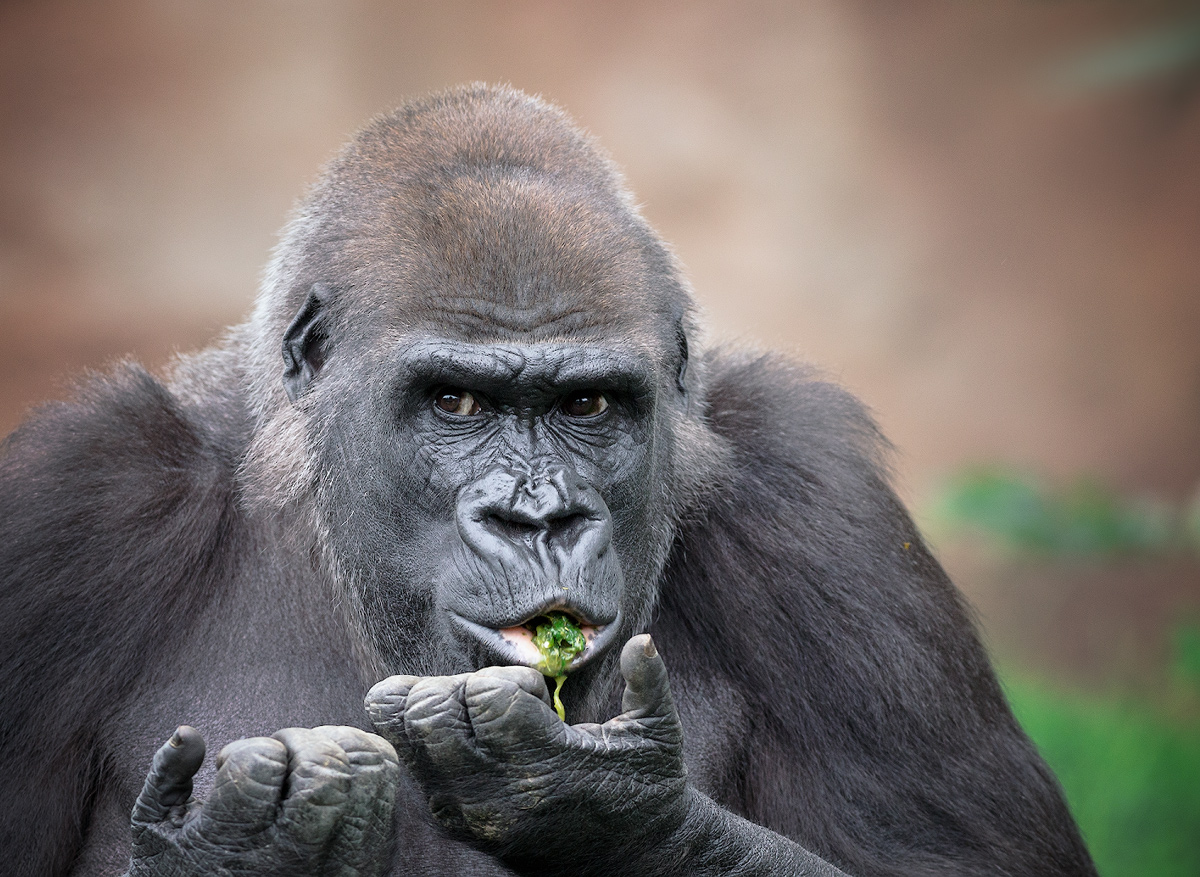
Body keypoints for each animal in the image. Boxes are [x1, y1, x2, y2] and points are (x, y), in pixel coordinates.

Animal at [0, 83, 1099, 877]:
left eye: (588, 406)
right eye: (455, 402)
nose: (539, 517)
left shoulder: (823, 511)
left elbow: (960, 863)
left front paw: (606, 808)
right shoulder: (70, 506)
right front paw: (242, 851)